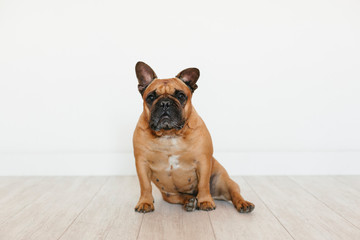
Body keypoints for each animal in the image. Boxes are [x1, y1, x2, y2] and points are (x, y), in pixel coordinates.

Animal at [134, 62, 255, 214]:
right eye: (150, 97)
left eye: (181, 95)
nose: (165, 103)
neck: (170, 134)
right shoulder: (141, 163)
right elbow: (145, 186)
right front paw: (145, 202)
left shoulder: (203, 161)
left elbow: (203, 184)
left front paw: (205, 201)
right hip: (170, 195)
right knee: (181, 197)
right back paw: (190, 202)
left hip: (224, 181)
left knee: (234, 193)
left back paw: (243, 203)